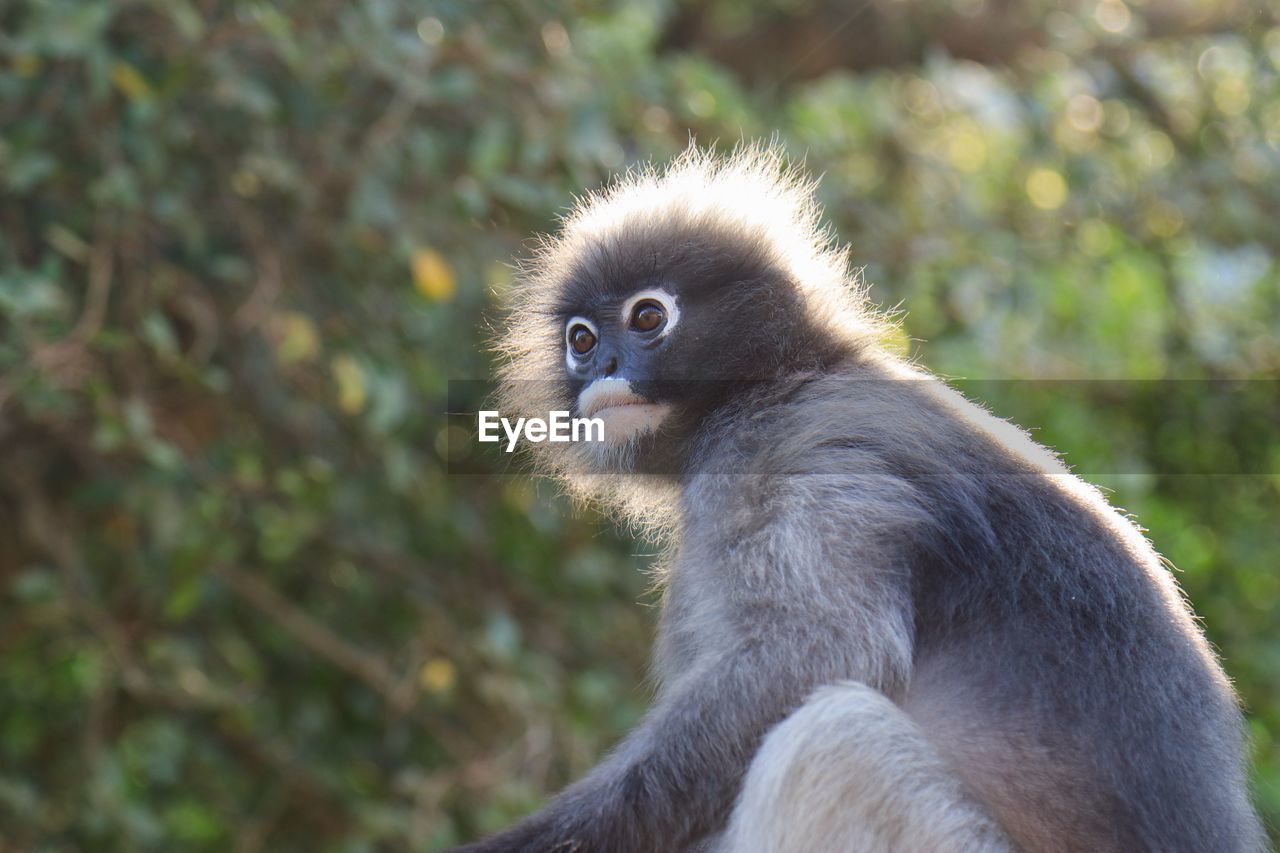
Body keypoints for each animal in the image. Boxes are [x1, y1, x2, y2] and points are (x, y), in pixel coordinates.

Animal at [458, 147, 1259, 850]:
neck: (785, 378)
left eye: (647, 318)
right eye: (581, 339)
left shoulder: (802, 454)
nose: (604, 370)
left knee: (834, 735)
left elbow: (819, 653)